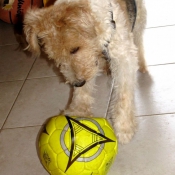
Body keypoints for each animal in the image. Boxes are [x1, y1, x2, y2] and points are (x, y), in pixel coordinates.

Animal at [23, 0, 146, 144]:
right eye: (55, 57)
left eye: (74, 49)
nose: (78, 83)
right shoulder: (90, 62)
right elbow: (82, 91)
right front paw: (78, 111)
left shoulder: (123, 56)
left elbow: (124, 95)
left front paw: (124, 128)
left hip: (139, 19)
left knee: (139, 38)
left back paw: (142, 66)